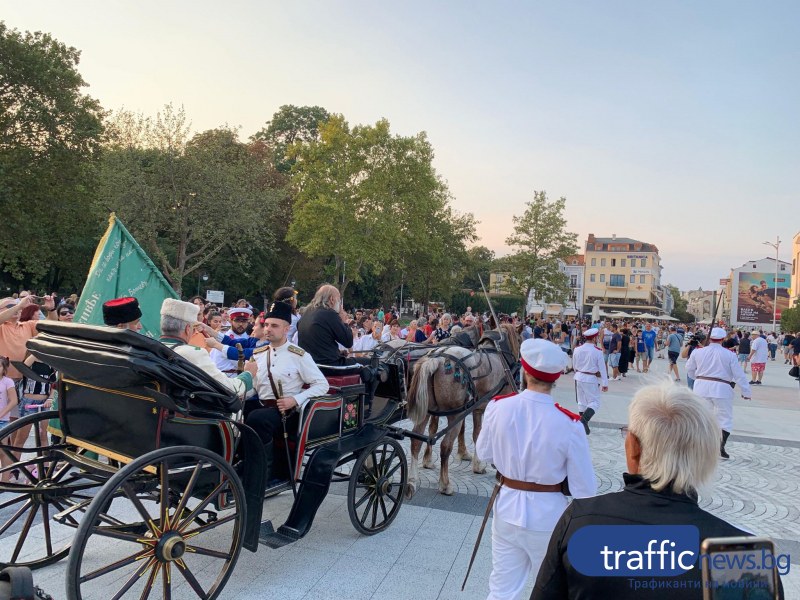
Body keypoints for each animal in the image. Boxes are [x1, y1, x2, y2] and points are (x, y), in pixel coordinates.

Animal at [404, 324, 520, 496]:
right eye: (520, 338)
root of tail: (436, 359)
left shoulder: (478, 409)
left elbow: (477, 434)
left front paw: (478, 465)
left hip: (425, 412)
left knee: (416, 440)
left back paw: (411, 481)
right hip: (454, 415)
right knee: (445, 446)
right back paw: (445, 484)